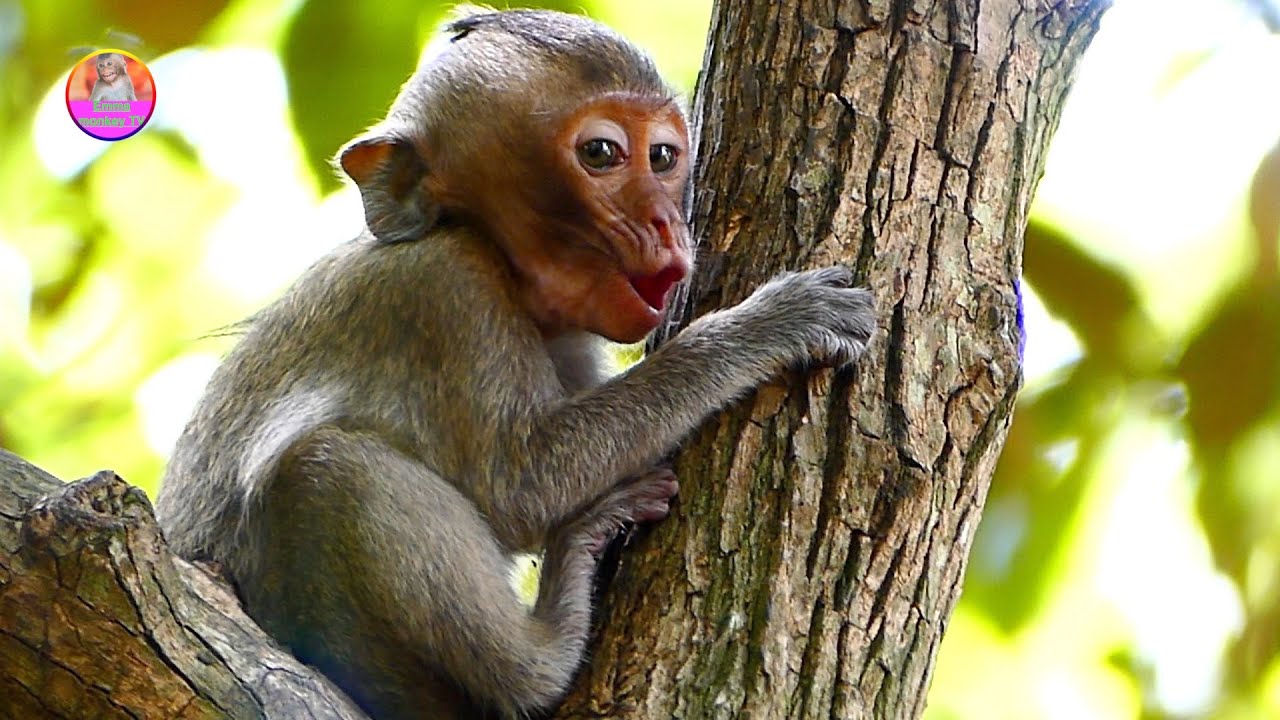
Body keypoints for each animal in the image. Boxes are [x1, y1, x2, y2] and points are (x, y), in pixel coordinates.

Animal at [155, 8, 875, 720]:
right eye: (602, 154)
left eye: (664, 156)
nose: (666, 223)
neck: (482, 244)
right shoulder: (445, 289)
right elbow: (520, 485)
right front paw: (767, 325)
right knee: (329, 469)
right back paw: (543, 654)